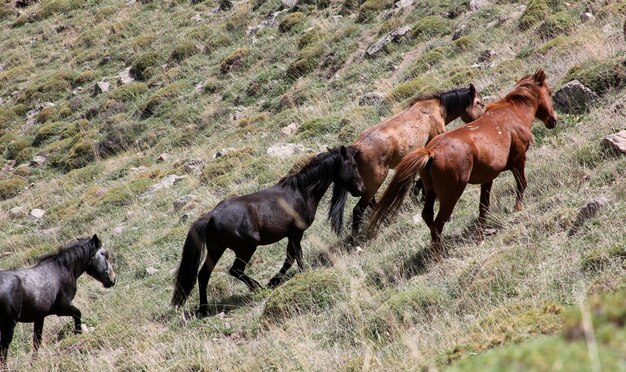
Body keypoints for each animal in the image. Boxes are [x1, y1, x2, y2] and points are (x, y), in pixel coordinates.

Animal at [0, 234, 116, 368]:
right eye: (105, 254)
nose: (112, 279)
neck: (63, 269)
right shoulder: (62, 308)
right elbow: (78, 314)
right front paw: (78, 334)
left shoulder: (39, 317)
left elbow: (37, 341)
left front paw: (34, 363)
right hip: (9, 324)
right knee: (4, 349)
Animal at [172, 145, 366, 316]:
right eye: (353, 164)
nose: (361, 189)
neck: (301, 193)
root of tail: (211, 216)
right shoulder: (296, 232)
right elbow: (294, 256)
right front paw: (293, 277)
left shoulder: (291, 234)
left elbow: (290, 257)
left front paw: (275, 280)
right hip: (246, 247)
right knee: (235, 270)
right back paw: (257, 288)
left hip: (216, 249)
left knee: (204, 275)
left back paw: (204, 309)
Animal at [346, 84, 482, 243]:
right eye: (479, 103)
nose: (480, 122)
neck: (435, 109)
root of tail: (357, 147)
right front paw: (418, 191)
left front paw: (417, 192)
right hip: (376, 180)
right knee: (358, 209)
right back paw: (356, 238)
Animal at [366, 71, 556, 260]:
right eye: (550, 92)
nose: (553, 120)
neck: (512, 113)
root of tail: (431, 152)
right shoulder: (519, 159)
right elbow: (522, 184)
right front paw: (518, 208)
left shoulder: (488, 178)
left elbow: (483, 207)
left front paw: (481, 233)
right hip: (451, 195)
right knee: (437, 224)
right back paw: (439, 256)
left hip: (431, 191)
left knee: (428, 216)